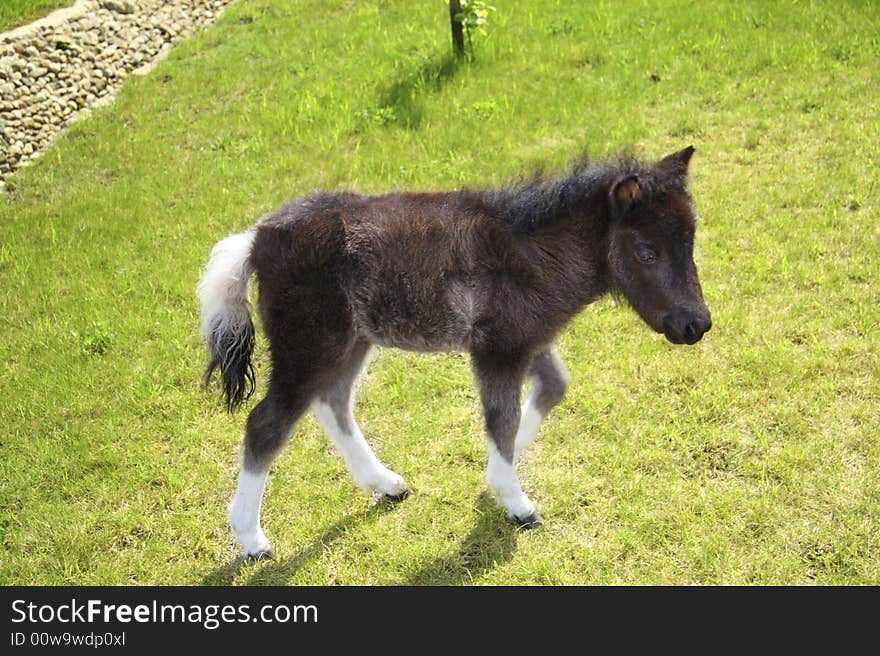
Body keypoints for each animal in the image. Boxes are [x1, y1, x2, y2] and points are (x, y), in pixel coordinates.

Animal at [198, 146, 708, 556]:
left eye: (691, 242)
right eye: (646, 251)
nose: (696, 324)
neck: (535, 255)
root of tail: (257, 237)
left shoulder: (525, 339)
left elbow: (552, 389)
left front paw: (500, 474)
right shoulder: (496, 349)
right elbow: (502, 418)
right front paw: (514, 500)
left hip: (351, 341)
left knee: (332, 401)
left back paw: (384, 484)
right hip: (308, 342)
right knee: (267, 424)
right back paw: (251, 540)